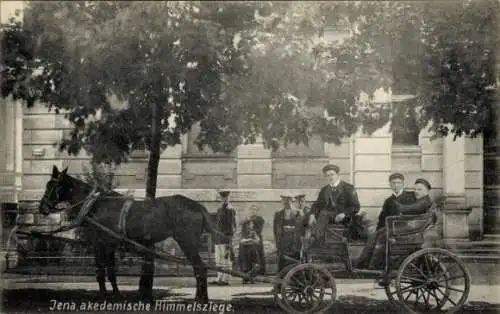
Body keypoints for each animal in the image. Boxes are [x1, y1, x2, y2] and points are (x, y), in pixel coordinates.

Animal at [37, 166, 221, 302]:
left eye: (54, 186)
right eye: (46, 185)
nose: (42, 207)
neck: (96, 205)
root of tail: (198, 206)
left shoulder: (100, 244)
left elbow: (102, 273)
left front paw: (104, 296)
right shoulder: (109, 245)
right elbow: (111, 272)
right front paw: (116, 295)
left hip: (187, 242)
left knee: (200, 268)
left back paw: (202, 299)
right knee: (199, 269)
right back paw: (199, 297)